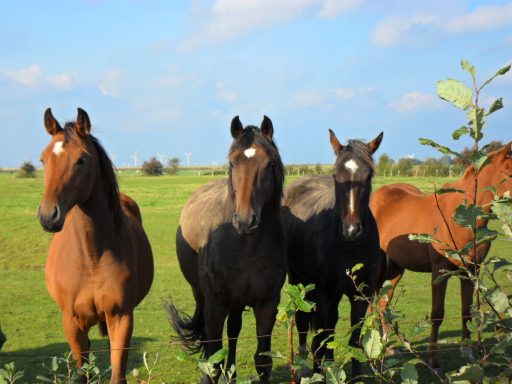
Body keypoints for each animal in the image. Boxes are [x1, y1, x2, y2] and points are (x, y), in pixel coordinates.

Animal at [37, 108, 153, 384]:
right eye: (43, 160)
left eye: (81, 160)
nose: (48, 215)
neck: (91, 257)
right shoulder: (71, 323)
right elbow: (82, 373)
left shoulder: (121, 317)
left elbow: (118, 372)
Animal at [168, 115, 288, 382]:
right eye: (233, 163)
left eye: (269, 164)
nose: (245, 220)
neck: (246, 247)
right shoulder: (215, 305)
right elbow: (213, 358)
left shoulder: (267, 305)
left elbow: (262, 362)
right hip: (202, 295)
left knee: (233, 332)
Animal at [282, 130, 382, 378]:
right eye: (336, 175)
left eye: (369, 175)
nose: (351, 229)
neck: (347, 245)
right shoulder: (321, 292)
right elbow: (318, 337)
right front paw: (318, 373)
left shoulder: (360, 295)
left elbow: (354, 341)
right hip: (299, 280)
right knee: (303, 322)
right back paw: (303, 364)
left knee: (331, 323)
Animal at [370, 141, 512, 366]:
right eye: (510, 172)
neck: (461, 218)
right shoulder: (440, 271)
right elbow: (437, 314)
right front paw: (433, 359)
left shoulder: (469, 272)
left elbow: (466, 312)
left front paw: (468, 353)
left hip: (396, 268)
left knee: (384, 302)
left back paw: (387, 346)